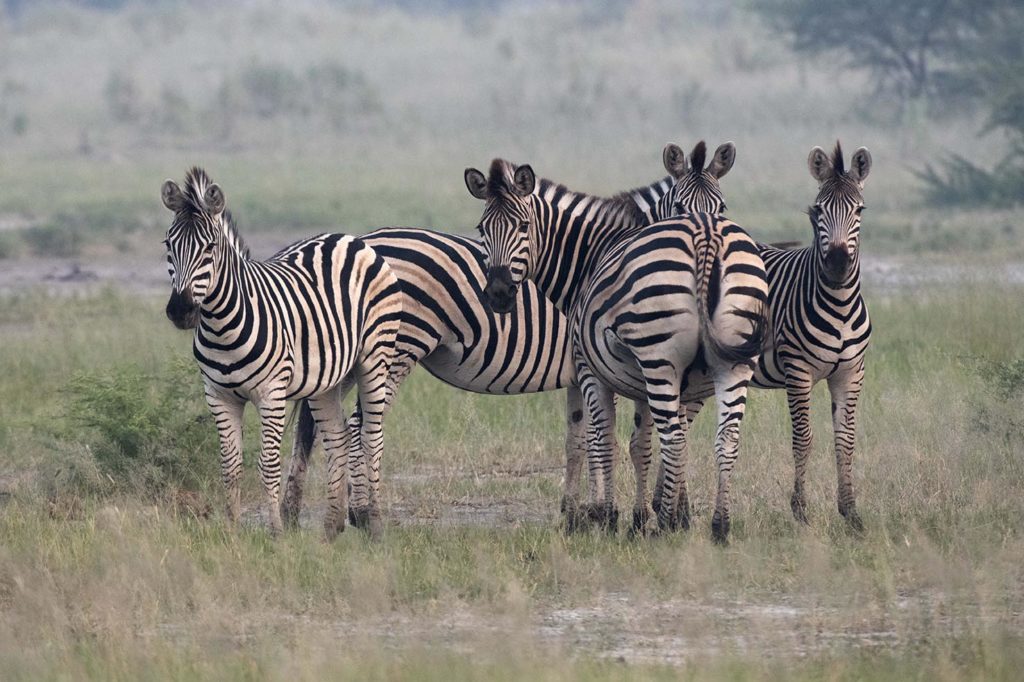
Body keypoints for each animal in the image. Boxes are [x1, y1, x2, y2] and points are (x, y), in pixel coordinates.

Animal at [161, 167, 402, 539]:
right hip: (326, 379)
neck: (222, 324)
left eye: (210, 247)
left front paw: (275, 532)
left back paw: (374, 525)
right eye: (168, 245)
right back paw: (330, 529)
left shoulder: (271, 393)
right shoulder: (218, 395)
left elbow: (268, 464)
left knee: (371, 437)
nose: (180, 311)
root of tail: (349, 239)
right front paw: (232, 530)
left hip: (375, 357)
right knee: (338, 437)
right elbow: (230, 465)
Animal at [466, 148, 769, 540]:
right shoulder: (644, 380)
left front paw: (610, 515)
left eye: (522, 227)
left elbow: (603, 439)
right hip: (731, 364)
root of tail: (705, 233)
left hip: (660, 358)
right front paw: (645, 516)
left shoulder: (590, 369)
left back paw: (665, 526)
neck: (592, 255)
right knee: (726, 438)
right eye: (482, 230)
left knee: (674, 438)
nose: (499, 294)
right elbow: (639, 443)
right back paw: (719, 525)